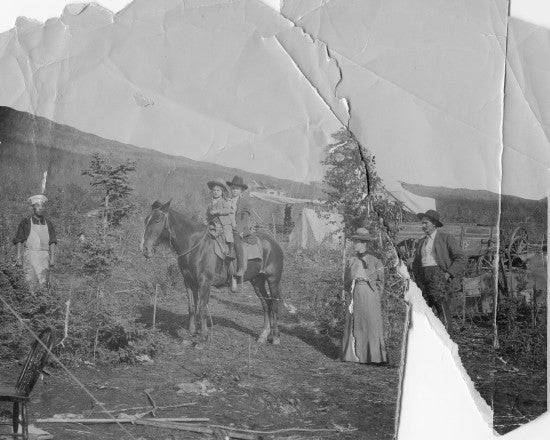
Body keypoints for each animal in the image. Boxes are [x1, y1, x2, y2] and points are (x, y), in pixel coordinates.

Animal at [140, 200, 286, 348]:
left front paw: (202, 339)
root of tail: (273, 242)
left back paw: (276, 337)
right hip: (257, 281)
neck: (195, 245)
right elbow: (192, 307)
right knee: (265, 304)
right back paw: (263, 335)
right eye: (146, 220)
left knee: (274, 305)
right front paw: (191, 334)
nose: (145, 249)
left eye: (157, 220)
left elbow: (202, 308)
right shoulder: (189, 281)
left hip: (273, 280)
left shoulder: (205, 283)